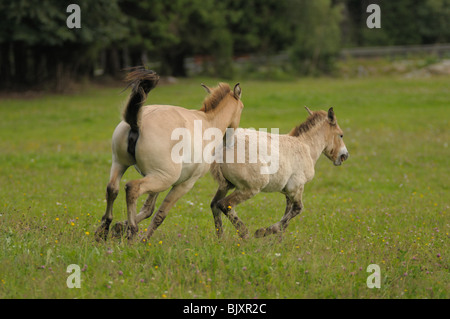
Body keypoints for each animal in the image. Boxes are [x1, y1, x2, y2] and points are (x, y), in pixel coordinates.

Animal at [210, 106, 348, 239]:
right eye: (341, 135)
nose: (344, 156)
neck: (306, 146)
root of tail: (223, 146)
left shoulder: (288, 192)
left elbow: (287, 216)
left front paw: (278, 240)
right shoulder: (296, 186)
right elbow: (297, 209)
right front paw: (263, 232)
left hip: (226, 185)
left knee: (214, 205)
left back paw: (220, 239)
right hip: (250, 187)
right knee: (225, 204)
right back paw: (245, 234)